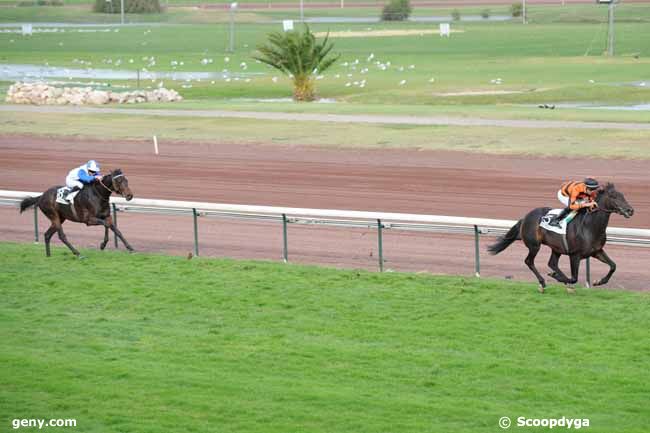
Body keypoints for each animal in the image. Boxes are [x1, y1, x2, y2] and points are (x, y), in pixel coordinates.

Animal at [486, 184, 632, 292]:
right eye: (614, 196)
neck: (590, 226)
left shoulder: (596, 251)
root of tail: (525, 217)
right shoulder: (574, 255)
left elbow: (613, 266)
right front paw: (560, 279)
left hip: (556, 248)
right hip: (534, 245)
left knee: (552, 263)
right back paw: (543, 282)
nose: (630, 210)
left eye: (623, 195)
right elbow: (574, 278)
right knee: (529, 261)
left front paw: (599, 281)